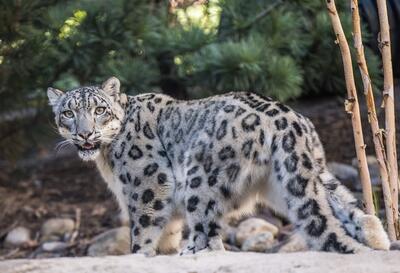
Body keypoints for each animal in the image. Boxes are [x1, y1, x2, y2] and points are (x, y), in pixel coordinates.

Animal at [47, 76, 390, 255]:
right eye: (68, 113)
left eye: (100, 110)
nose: (84, 133)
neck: (106, 159)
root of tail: (288, 119)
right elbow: (166, 232)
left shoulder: (147, 185)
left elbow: (143, 230)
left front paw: (141, 255)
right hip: (299, 176)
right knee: (344, 206)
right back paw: (378, 240)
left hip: (199, 180)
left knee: (207, 237)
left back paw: (189, 253)